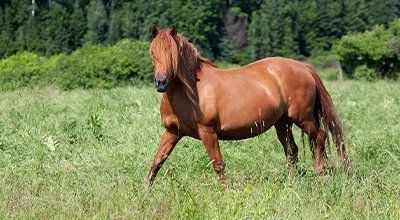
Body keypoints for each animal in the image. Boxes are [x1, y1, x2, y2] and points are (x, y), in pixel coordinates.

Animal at [146, 26, 346, 186]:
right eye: (152, 53)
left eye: (172, 54)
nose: (161, 83)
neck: (190, 92)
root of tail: (305, 68)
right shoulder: (172, 132)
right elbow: (157, 161)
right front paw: (145, 190)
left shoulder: (207, 132)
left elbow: (218, 164)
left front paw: (226, 191)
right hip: (283, 123)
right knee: (292, 151)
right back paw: (293, 180)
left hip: (302, 118)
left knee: (320, 136)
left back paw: (319, 170)